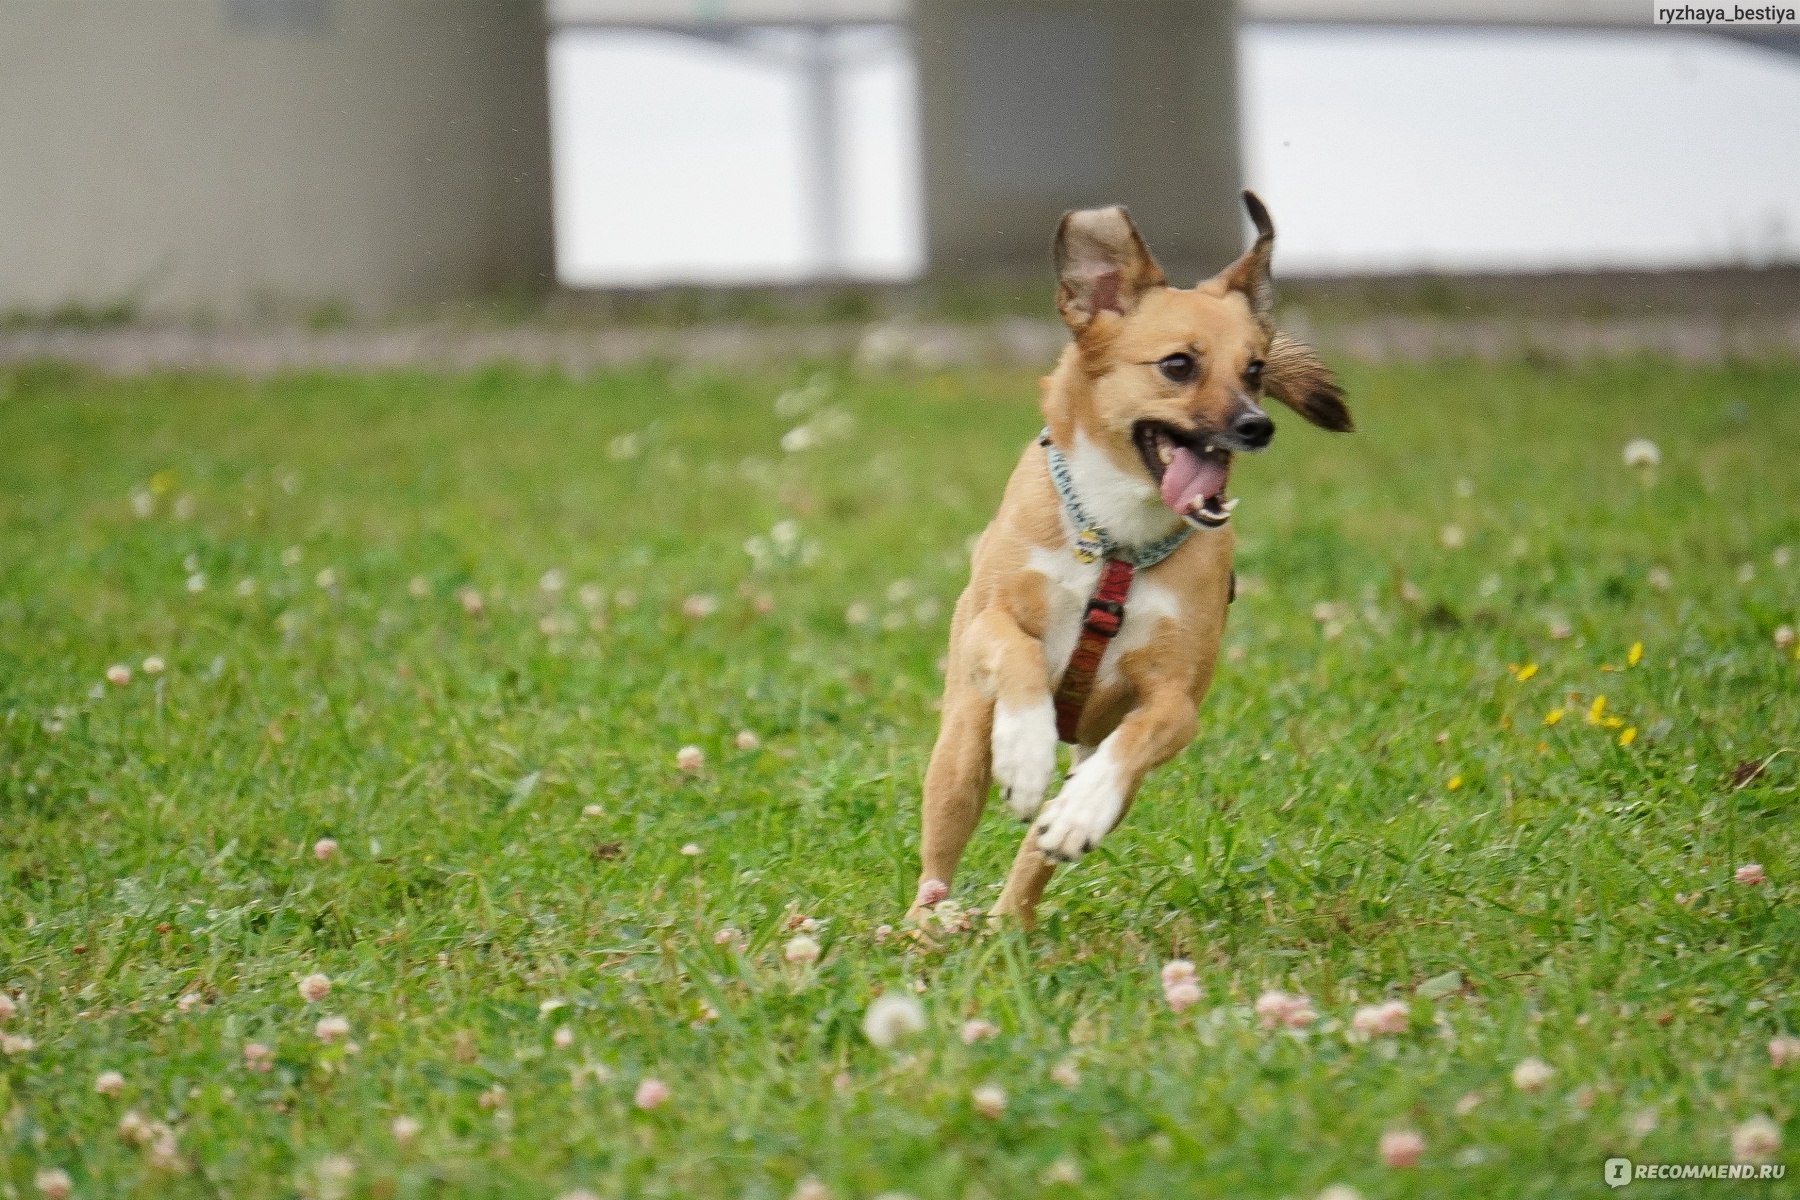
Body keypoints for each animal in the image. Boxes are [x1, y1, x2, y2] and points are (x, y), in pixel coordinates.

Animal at [914, 195, 1353, 928]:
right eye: (1177, 365)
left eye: (1255, 368)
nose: (1256, 426)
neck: (1117, 539)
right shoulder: (991, 622)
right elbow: (1018, 650)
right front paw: (1026, 752)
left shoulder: (1175, 695)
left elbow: (1144, 731)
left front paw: (1079, 809)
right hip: (961, 748)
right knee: (941, 845)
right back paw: (931, 920)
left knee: (1040, 847)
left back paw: (1015, 916)